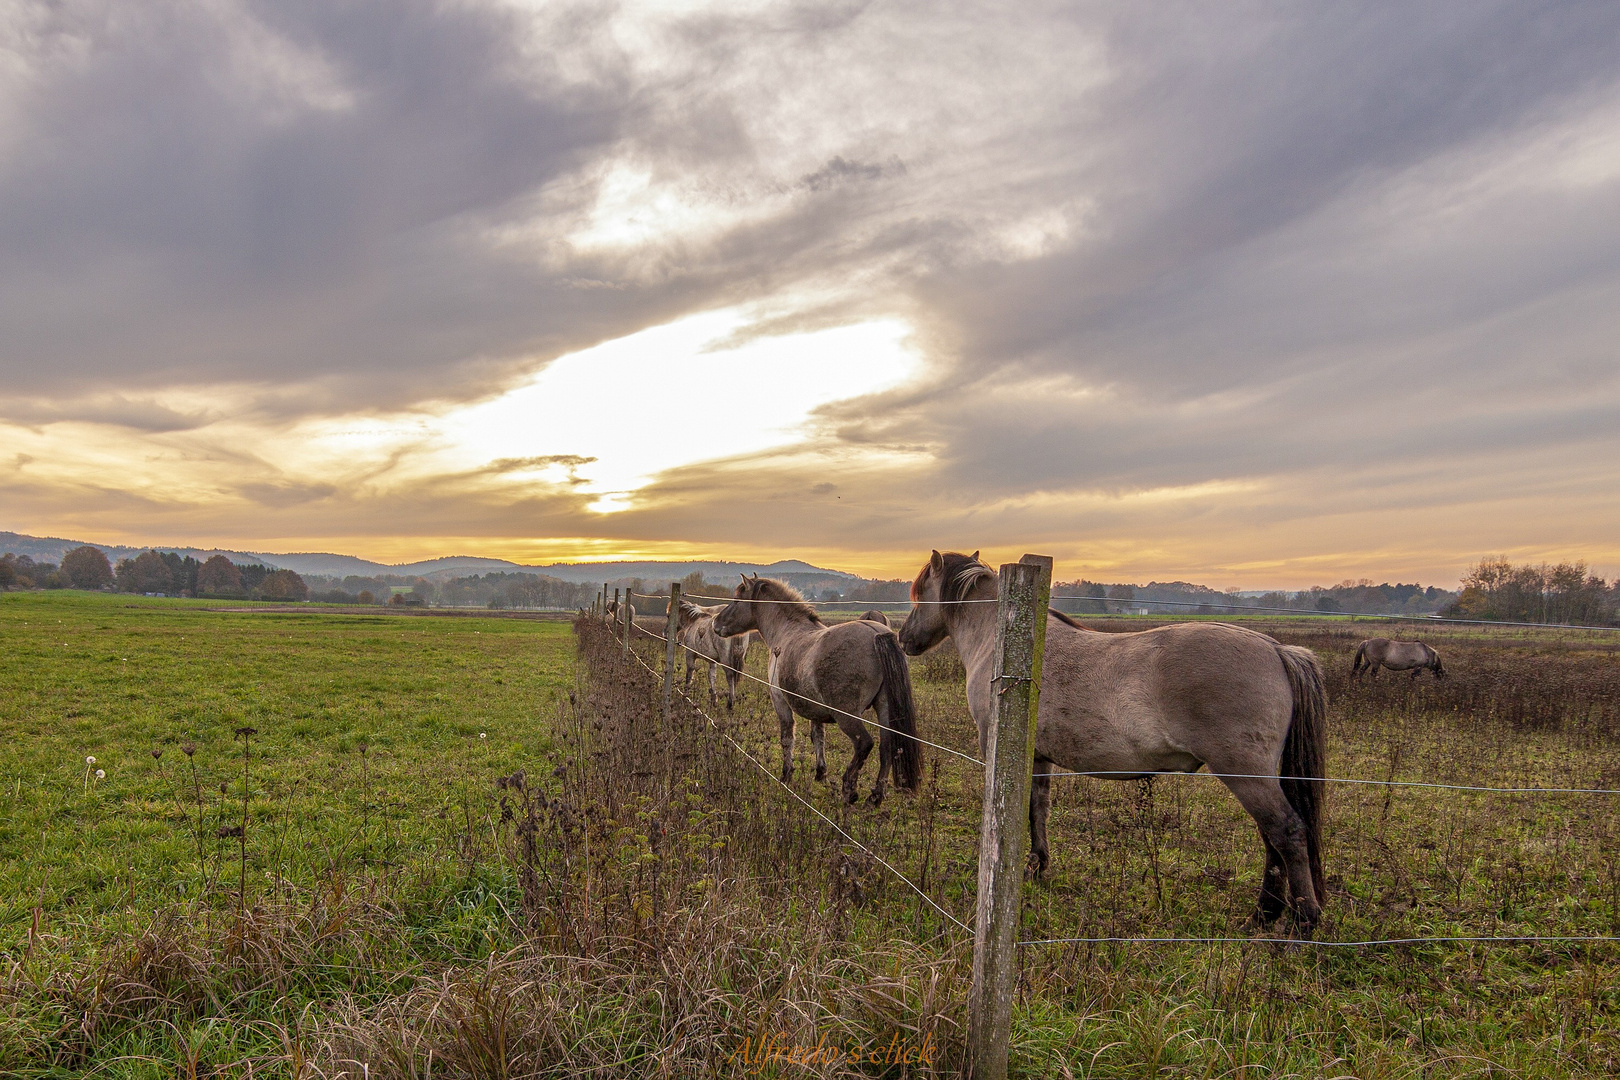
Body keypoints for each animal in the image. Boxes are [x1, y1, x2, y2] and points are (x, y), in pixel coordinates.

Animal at [712, 579, 926, 806]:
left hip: (847, 715)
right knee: (887, 748)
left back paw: (849, 790)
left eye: (737, 600)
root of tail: (875, 633)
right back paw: (875, 797)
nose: (715, 623)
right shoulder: (815, 709)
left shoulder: (780, 701)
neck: (786, 632)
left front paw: (786, 775)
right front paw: (820, 772)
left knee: (864, 744)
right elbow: (818, 737)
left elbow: (787, 738)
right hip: (884, 708)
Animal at [900, 553, 1328, 932]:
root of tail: (1276, 649)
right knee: (1272, 838)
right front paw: (1038, 865)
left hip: (1244, 773)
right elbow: (1039, 807)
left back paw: (1301, 922)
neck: (1003, 639)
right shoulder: (1038, 755)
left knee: (1286, 832)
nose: (904, 638)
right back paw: (1265, 915)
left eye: (920, 595)